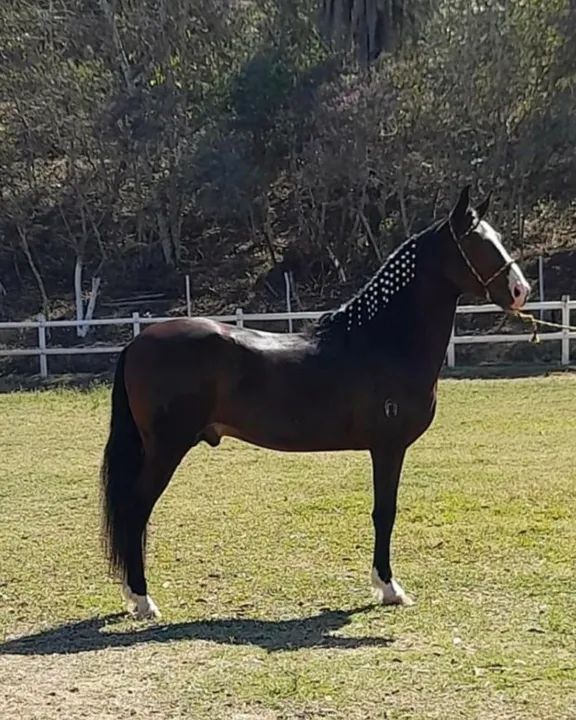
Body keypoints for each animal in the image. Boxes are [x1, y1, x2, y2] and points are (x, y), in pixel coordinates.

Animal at [100, 186, 531, 619]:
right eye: (477, 243)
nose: (520, 291)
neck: (383, 341)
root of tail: (137, 343)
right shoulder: (388, 448)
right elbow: (385, 513)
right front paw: (388, 587)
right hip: (166, 449)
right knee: (136, 511)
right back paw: (143, 600)